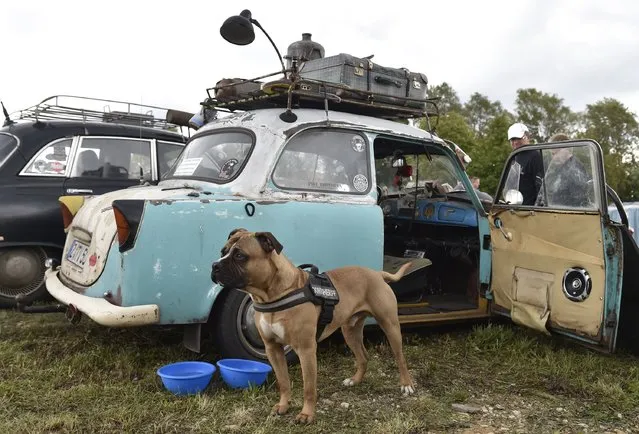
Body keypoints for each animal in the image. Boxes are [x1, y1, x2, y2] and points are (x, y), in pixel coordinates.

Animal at [212, 229, 418, 422]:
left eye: (240, 255)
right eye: (223, 251)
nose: (214, 265)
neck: (273, 294)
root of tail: (376, 273)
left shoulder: (306, 350)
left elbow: (309, 387)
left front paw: (306, 414)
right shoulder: (273, 349)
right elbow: (283, 381)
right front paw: (283, 405)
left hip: (390, 326)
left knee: (400, 357)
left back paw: (406, 384)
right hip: (350, 331)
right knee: (363, 357)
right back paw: (355, 380)